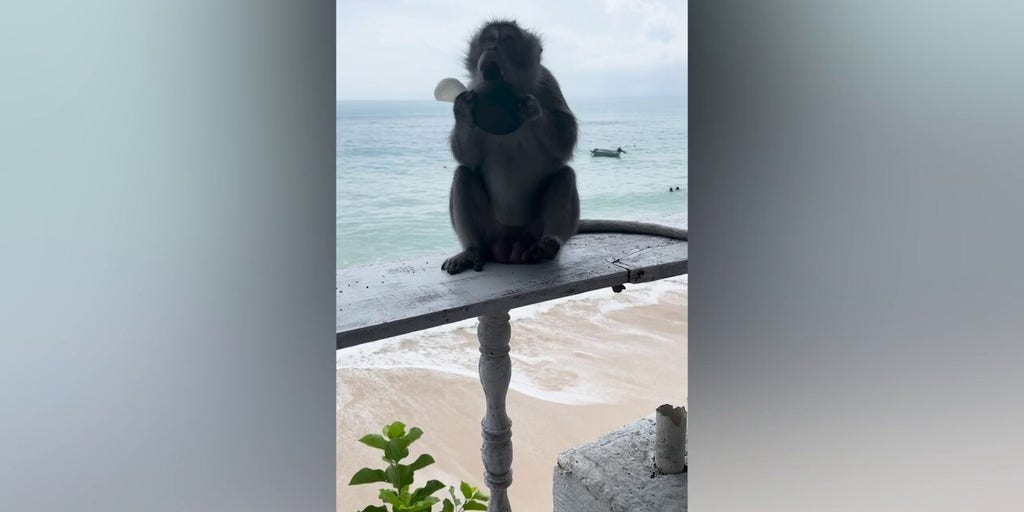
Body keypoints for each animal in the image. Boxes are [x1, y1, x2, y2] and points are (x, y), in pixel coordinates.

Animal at [441, 20, 687, 275]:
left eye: (507, 40)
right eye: (489, 39)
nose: (492, 48)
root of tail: (511, 243)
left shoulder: (548, 82)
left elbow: (565, 139)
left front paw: (532, 109)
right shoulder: (474, 87)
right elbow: (468, 158)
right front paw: (462, 110)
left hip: (535, 228)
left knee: (564, 176)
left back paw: (547, 245)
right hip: (492, 230)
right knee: (463, 175)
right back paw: (472, 250)